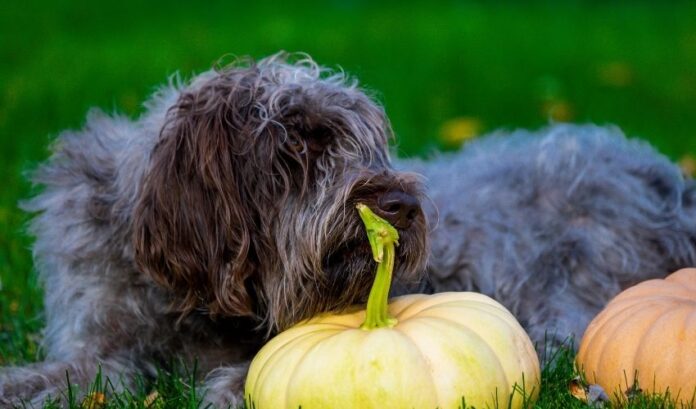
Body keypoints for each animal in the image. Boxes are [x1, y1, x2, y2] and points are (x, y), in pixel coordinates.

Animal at [4, 52, 696, 406]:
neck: (190, 302)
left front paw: (228, 387)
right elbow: (87, 371)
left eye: (367, 146)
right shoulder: (99, 342)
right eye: (299, 148)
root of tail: (670, 178)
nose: (400, 203)